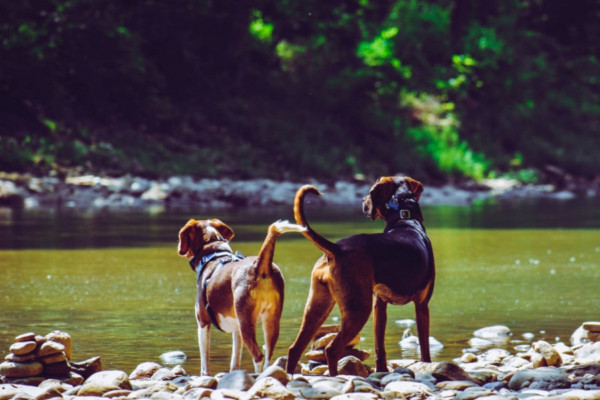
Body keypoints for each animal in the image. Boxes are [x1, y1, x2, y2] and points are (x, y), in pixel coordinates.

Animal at [178, 219, 304, 376]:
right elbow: (235, 359)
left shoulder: (203, 322)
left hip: (246, 324)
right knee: (268, 356)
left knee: (258, 356)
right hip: (271, 322)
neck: (213, 253)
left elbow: (204, 362)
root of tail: (259, 265)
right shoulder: (236, 328)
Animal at [288, 177, 436, 376]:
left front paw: (381, 370)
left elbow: (379, 347)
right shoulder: (422, 306)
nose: (362, 201)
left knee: (295, 348)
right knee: (331, 349)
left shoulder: (379, 305)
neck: (405, 219)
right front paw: (427, 364)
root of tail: (337, 248)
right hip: (357, 310)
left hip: (317, 307)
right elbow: (424, 346)